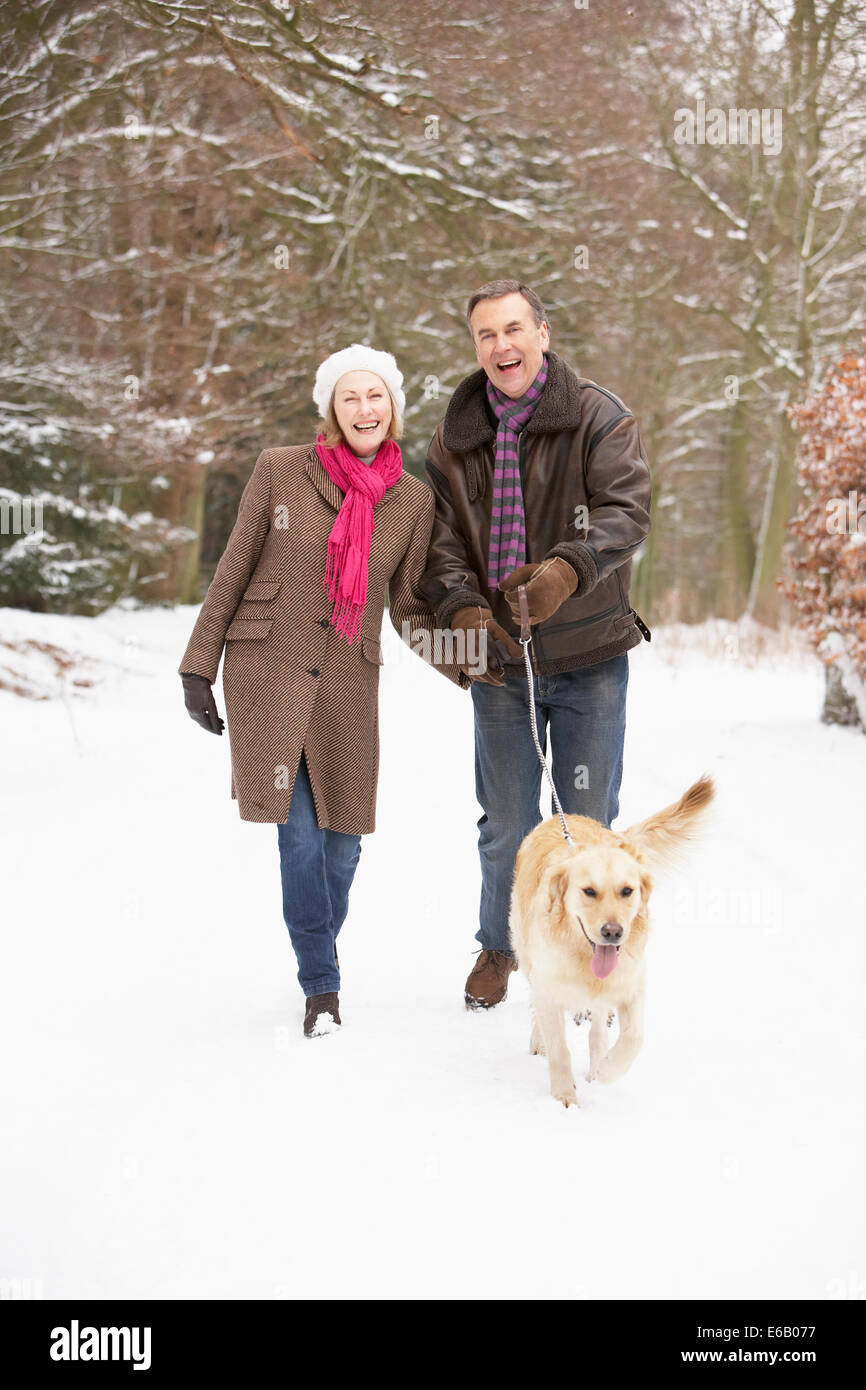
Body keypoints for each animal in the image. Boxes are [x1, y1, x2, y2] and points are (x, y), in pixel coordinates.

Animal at [511, 772, 717, 1106]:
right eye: (589, 891)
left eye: (627, 891)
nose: (613, 932)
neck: (583, 957)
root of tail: (565, 816)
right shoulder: (547, 985)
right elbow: (559, 1048)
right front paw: (565, 1096)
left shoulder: (631, 983)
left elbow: (633, 1037)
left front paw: (607, 1071)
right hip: (527, 958)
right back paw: (539, 1040)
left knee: (597, 1029)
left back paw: (597, 1062)